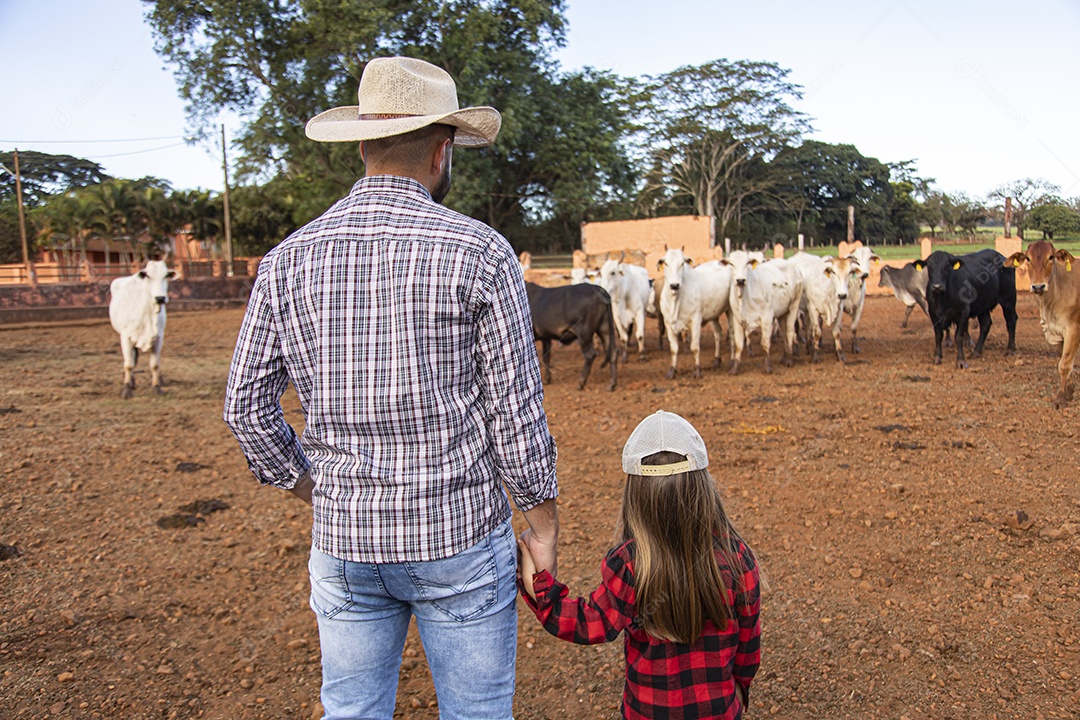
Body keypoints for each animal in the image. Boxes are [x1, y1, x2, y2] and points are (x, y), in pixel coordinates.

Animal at [109, 260, 176, 399]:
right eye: (148, 276)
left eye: (166, 275)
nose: (160, 298)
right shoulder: (125, 337)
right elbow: (129, 364)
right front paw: (127, 389)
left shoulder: (159, 337)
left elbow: (155, 365)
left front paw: (157, 387)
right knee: (132, 359)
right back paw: (131, 381)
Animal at [656, 248, 734, 379]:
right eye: (666, 263)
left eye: (682, 263)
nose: (674, 285)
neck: (675, 300)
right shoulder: (668, 323)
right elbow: (674, 349)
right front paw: (672, 370)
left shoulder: (696, 321)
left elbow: (695, 347)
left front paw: (697, 370)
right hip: (714, 315)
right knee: (718, 333)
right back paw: (717, 360)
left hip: (731, 311)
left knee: (733, 335)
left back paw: (732, 361)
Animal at [997, 241, 1075, 408]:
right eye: (1028, 258)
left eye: (1051, 257)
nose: (1038, 287)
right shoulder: (1059, 332)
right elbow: (1066, 360)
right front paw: (1069, 391)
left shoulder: (1072, 329)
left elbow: (1064, 364)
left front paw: (1060, 398)